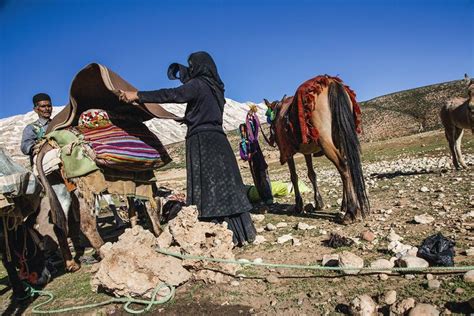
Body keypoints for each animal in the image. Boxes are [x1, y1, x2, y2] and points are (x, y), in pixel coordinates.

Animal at [262, 75, 370, 223]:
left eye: (269, 119)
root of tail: (331, 82)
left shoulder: (288, 152)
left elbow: (294, 176)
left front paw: (298, 205)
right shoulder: (307, 152)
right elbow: (312, 174)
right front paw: (318, 202)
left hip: (326, 142)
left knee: (343, 166)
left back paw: (351, 211)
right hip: (341, 139)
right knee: (346, 166)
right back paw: (344, 206)